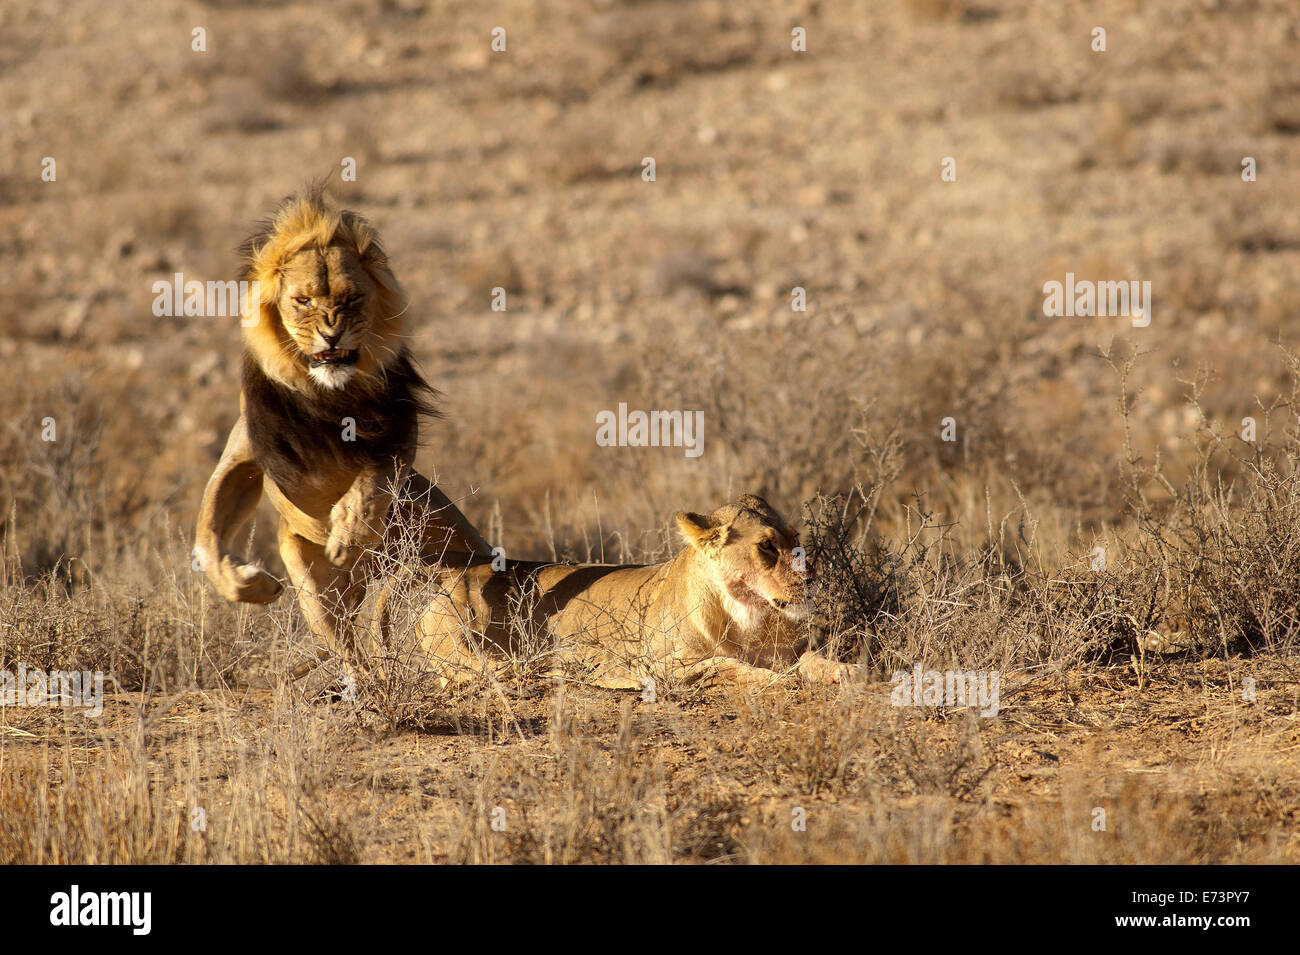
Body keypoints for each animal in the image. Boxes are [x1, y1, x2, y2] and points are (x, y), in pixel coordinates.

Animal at [194, 184, 492, 666]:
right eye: (303, 301)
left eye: (351, 299)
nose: (332, 336)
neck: (328, 393)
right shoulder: (248, 452)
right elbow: (208, 527)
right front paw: (249, 583)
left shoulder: (396, 432)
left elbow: (374, 481)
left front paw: (349, 532)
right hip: (318, 594)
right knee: (352, 653)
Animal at [375, 494, 859, 688]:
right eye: (766, 547)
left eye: (796, 539)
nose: (812, 577)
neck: (748, 617)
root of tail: (456, 569)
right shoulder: (661, 666)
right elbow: (725, 665)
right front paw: (771, 678)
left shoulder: (789, 648)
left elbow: (813, 659)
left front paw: (845, 670)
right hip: (468, 650)